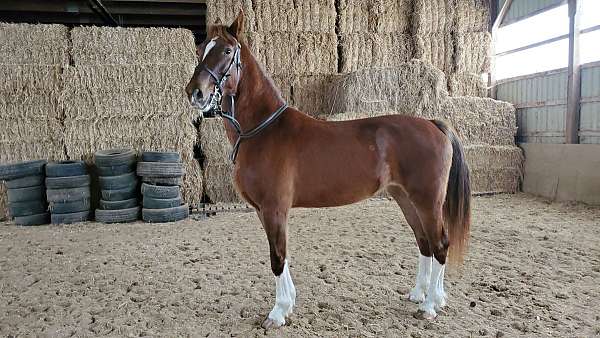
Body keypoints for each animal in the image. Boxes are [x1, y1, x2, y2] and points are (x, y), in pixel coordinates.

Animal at [185, 11, 472, 328]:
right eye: (201, 50)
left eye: (226, 51)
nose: (195, 93)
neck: (263, 130)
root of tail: (433, 124)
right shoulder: (263, 210)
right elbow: (282, 256)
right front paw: (289, 303)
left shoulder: (274, 208)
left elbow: (277, 256)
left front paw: (278, 312)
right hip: (406, 199)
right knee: (424, 243)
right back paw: (421, 295)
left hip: (427, 201)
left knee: (440, 244)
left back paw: (431, 305)